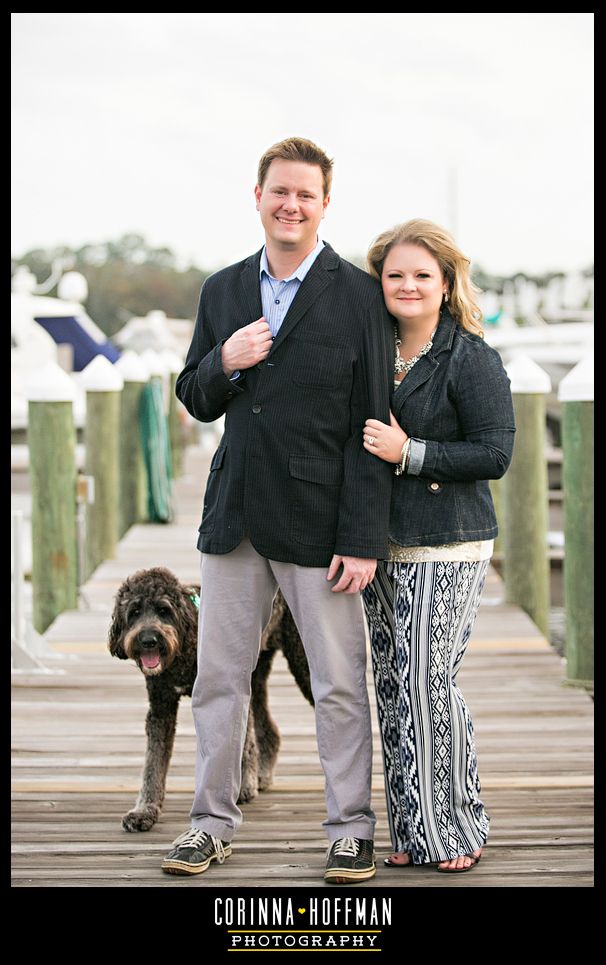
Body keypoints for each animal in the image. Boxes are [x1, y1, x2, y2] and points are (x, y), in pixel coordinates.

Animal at [107, 568, 314, 832]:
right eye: (134, 612)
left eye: (164, 610)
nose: (148, 640)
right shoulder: (160, 708)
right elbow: (153, 762)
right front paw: (144, 811)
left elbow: (242, 741)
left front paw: (243, 788)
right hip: (257, 675)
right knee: (269, 731)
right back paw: (263, 775)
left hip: (302, 663)